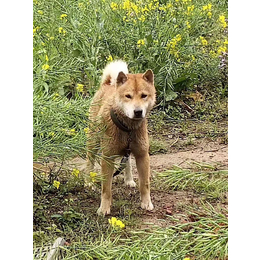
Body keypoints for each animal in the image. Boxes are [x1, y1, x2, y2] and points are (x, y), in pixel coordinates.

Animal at [87, 60, 156, 215]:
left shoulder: (143, 155)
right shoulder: (107, 158)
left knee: (127, 160)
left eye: (144, 95)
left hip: (128, 150)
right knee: (90, 162)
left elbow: (145, 184)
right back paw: (88, 182)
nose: (138, 111)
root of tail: (107, 84)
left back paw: (128, 179)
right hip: (93, 142)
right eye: (128, 96)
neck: (127, 128)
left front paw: (146, 203)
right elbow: (106, 189)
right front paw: (104, 208)